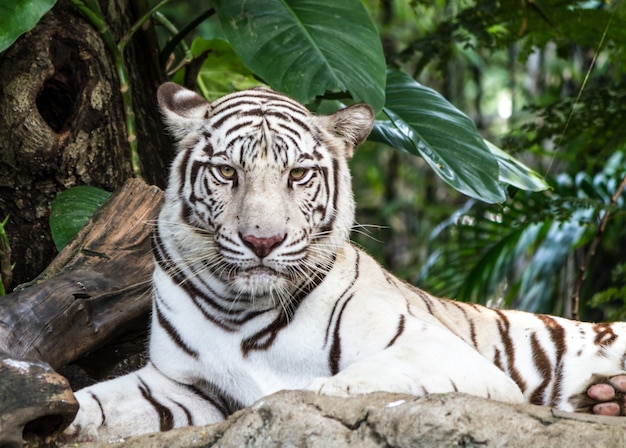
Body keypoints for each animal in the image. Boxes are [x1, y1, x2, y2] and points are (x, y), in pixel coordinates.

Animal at [62, 83, 624, 440]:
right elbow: (99, 399)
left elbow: (350, 383)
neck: (240, 311)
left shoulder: (437, 352)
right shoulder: (180, 384)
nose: (262, 240)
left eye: (298, 174)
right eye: (226, 172)